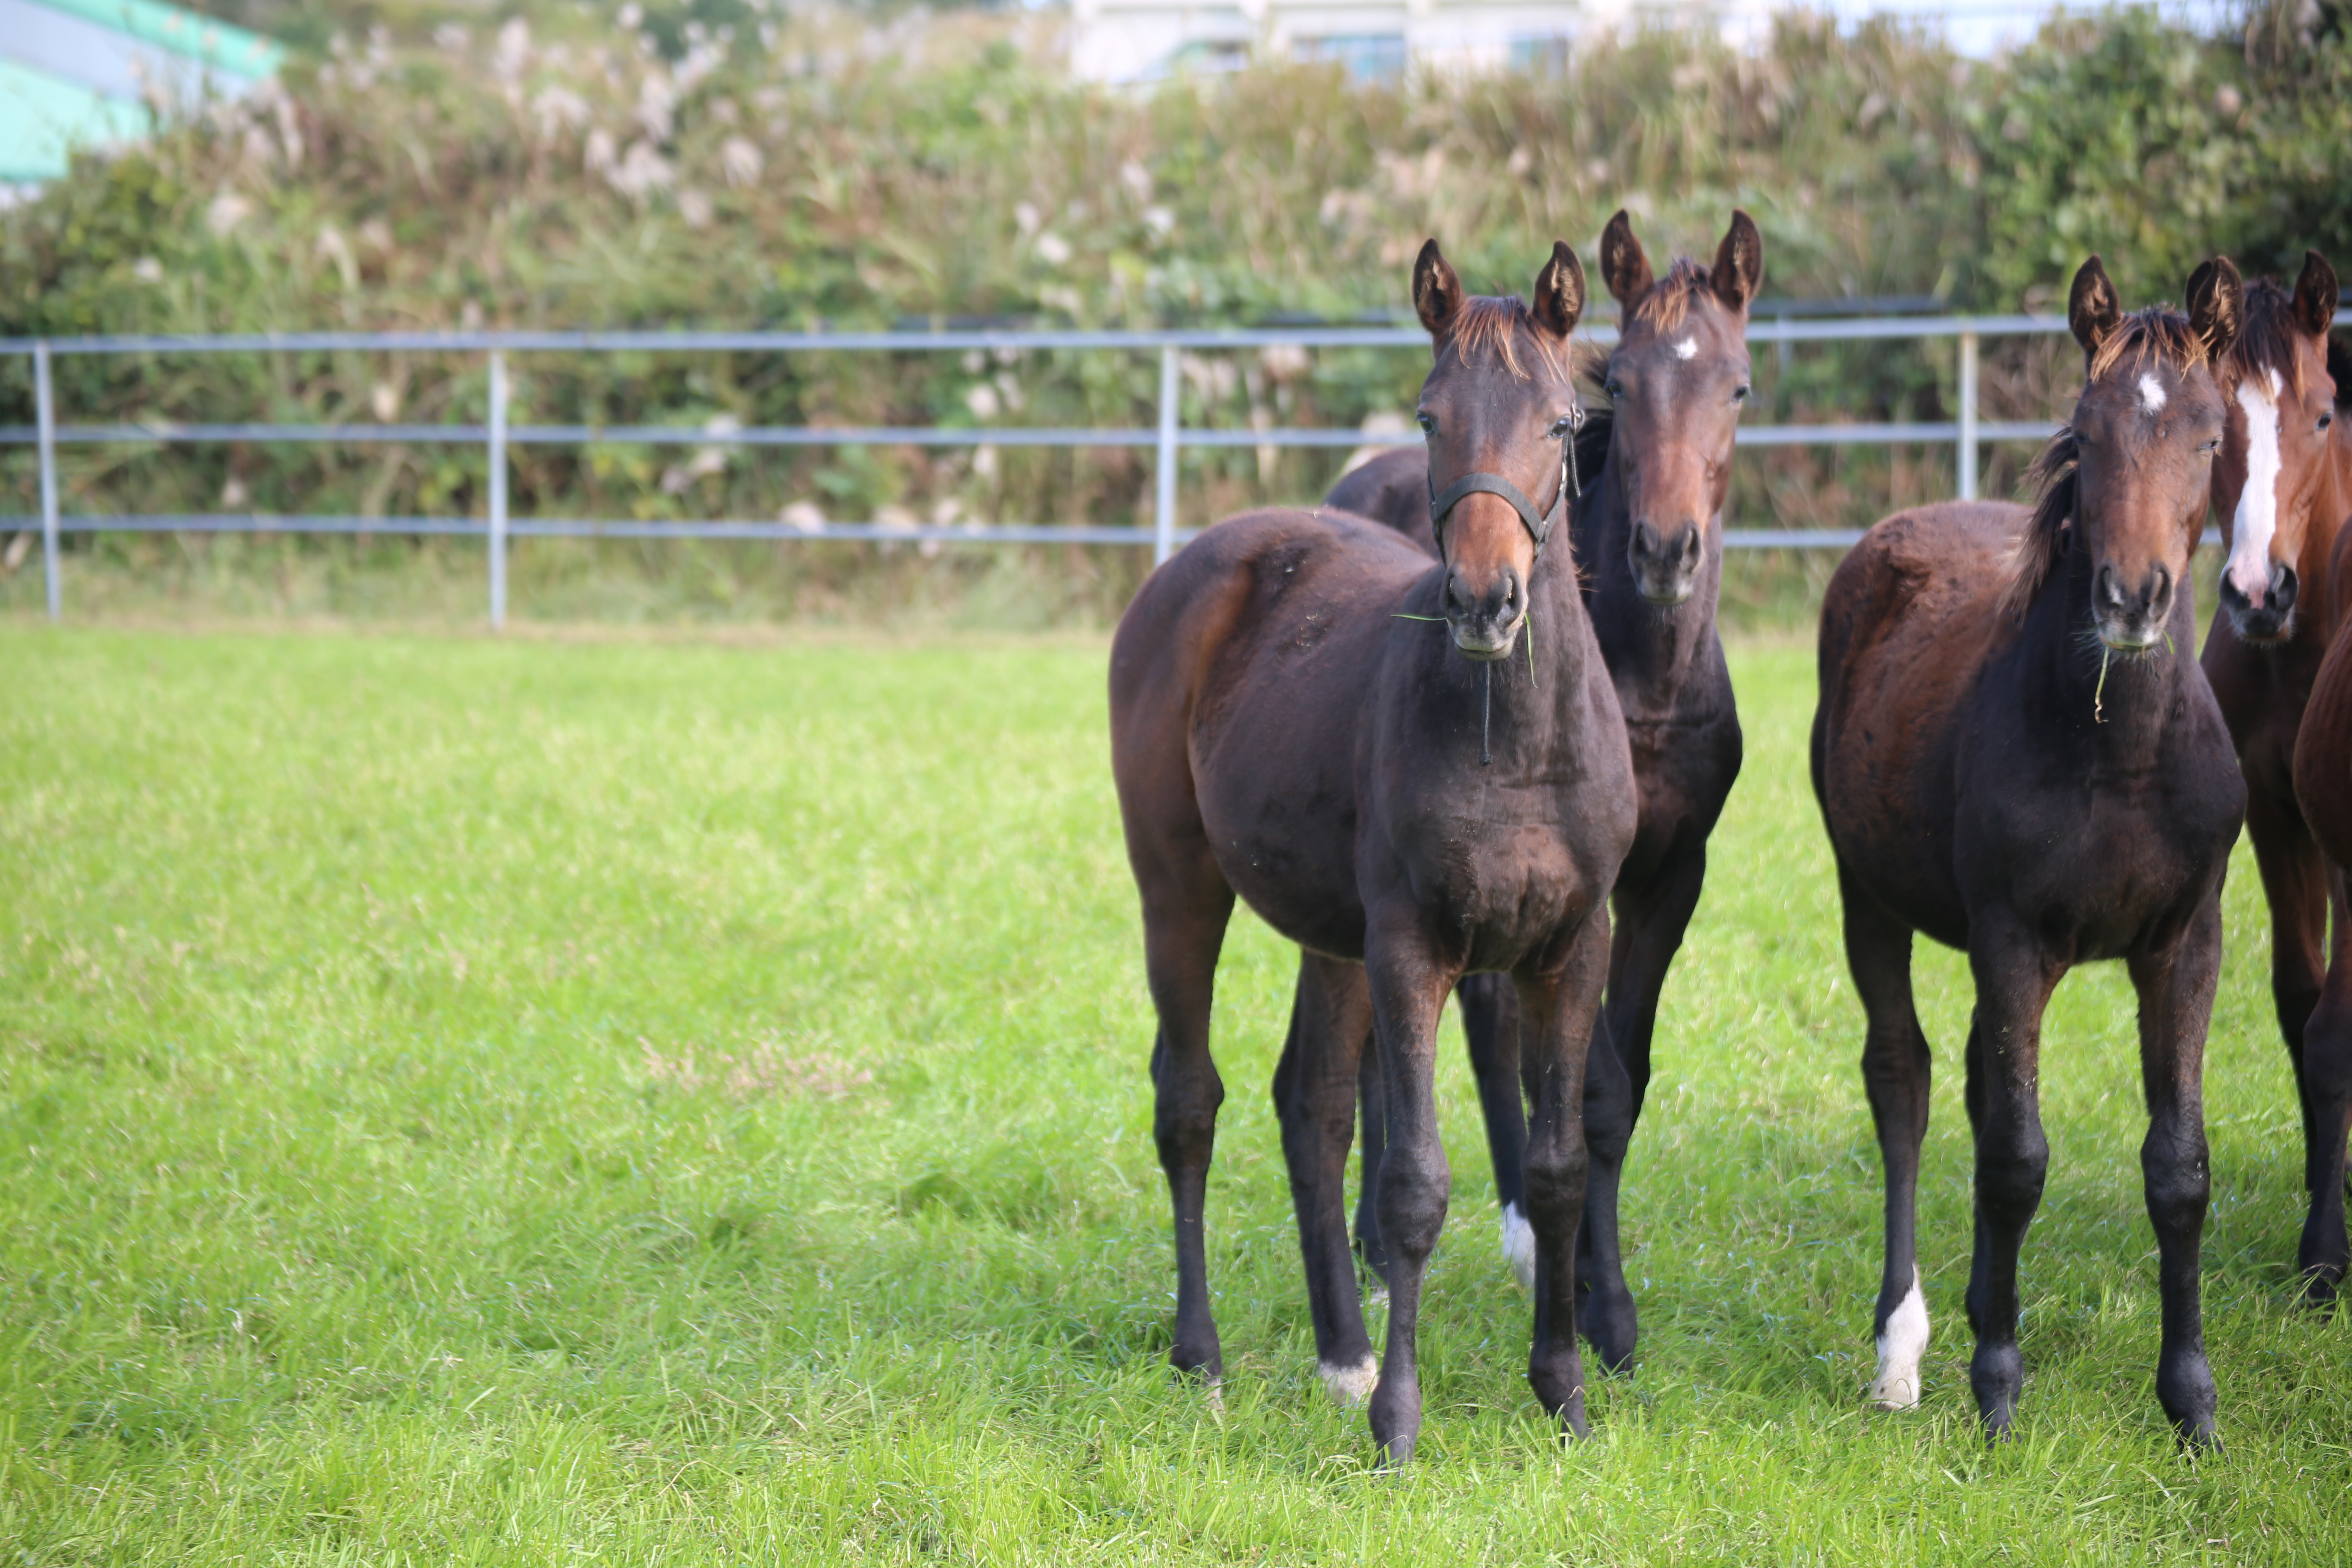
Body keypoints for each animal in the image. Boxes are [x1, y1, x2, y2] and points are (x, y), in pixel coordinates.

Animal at [1105, 242, 1637, 1457]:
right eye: (1431, 416)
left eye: (1559, 421)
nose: (1485, 601)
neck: (1511, 741)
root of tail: (1195, 566)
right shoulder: (1413, 949)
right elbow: (1414, 1184)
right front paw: (1399, 1422)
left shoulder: (1572, 948)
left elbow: (1556, 1167)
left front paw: (1563, 1391)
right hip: (1179, 890)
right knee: (1188, 1100)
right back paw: (1201, 1353)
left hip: (1328, 936)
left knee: (1312, 1108)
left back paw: (1340, 1351)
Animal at [1336, 212, 1759, 1373]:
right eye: (1622, 378)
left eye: (1737, 387)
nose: (1664, 549)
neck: (1644, 675)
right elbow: (1574, 1076)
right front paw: (1596, 1300)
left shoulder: (1668, 878)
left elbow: (1614, 1089)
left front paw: (1598, 1306)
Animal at [1806, 257, 2248, 1448]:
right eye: (2086, 437)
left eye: (2206, 436)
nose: (2131, 597)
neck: (2119, 752)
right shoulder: (2014, 940)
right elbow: (2014, 1158)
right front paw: (1996, 1385)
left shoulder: (2185, 944)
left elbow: (2178, 1168)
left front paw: (2191, 1401)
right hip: (1869, 900)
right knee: (1903, 1081)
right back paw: (1903, 1347)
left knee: (1962, 1078)